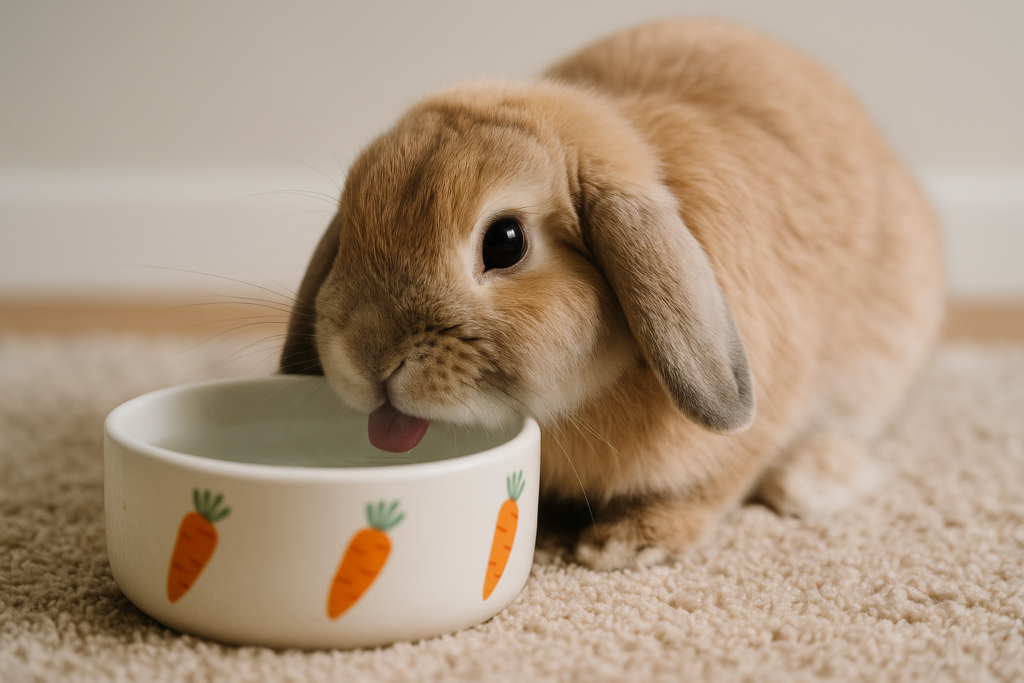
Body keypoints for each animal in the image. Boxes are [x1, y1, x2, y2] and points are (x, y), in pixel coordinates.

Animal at [280, 19, 945, 569]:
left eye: (505, 242)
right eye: (350, 228)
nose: (368, 357)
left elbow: (717, 479)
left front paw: (625, 545)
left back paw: (812, 481)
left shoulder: (762, 412)